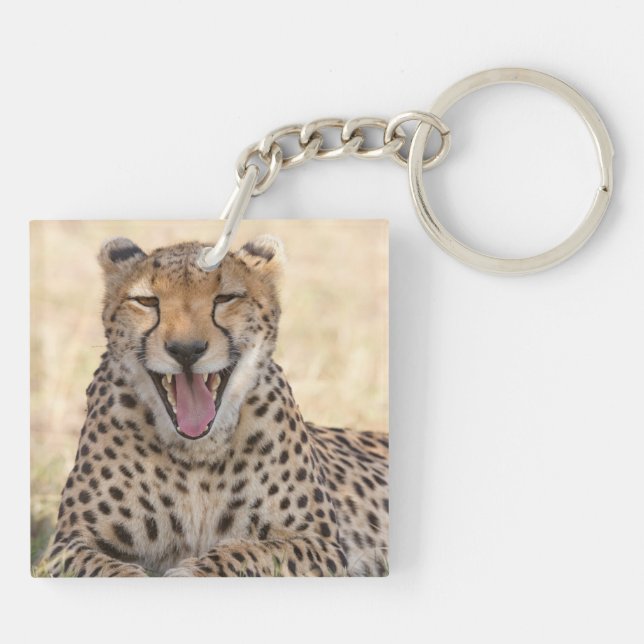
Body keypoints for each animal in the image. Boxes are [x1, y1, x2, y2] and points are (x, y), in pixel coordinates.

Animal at [41, 234, 388, 577]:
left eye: (225, 298)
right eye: (147, 301)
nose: (186, 350)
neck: (196, 454)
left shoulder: (317, 543)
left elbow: (246, 553)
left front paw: (189, 573)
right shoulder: (68, 544)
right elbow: (111, 571)